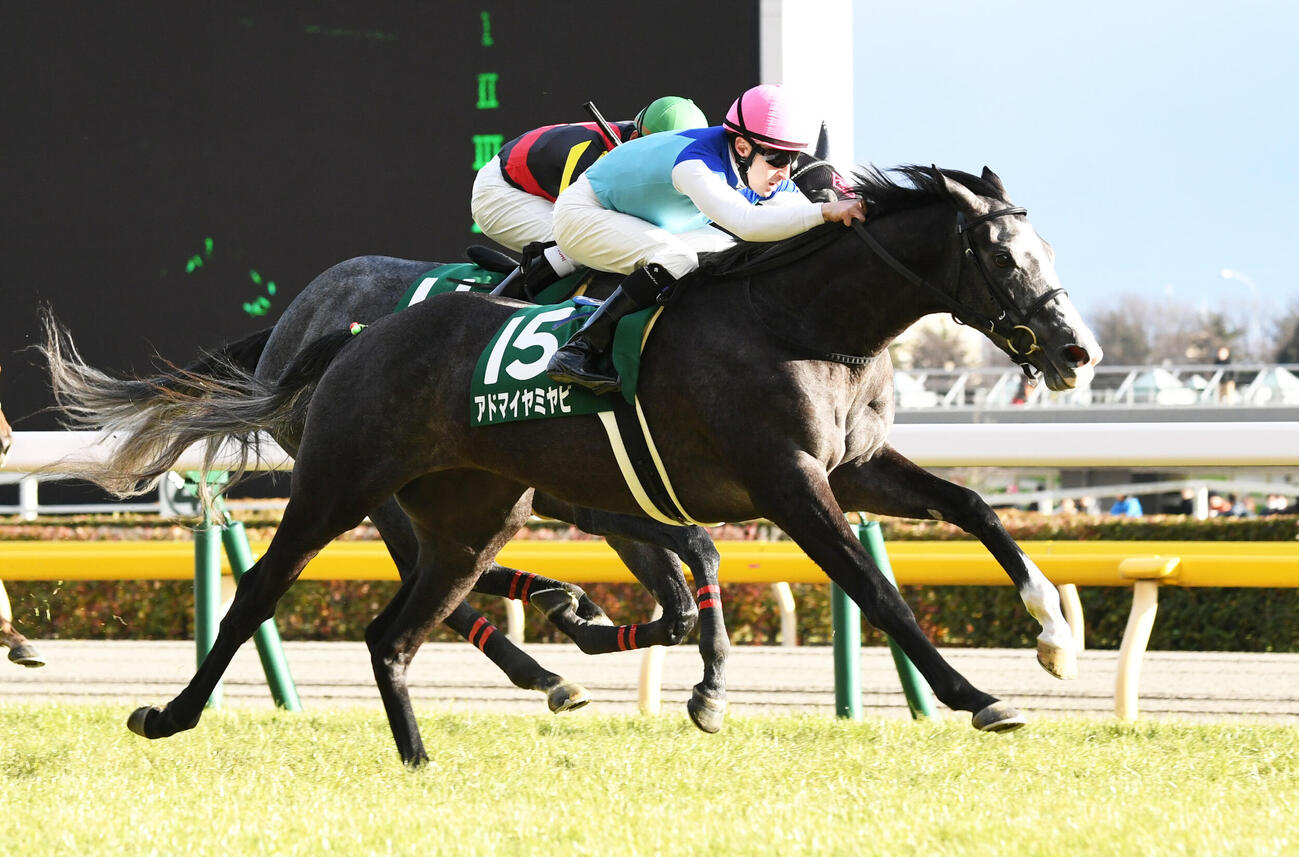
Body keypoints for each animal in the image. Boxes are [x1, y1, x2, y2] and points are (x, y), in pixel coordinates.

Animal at [44, 165, 1101, 766]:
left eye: (1045, 247)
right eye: (1004, 257)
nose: (1076, 350)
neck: (794, 319)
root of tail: (338, 331)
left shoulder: (852, 465)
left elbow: (972, 506)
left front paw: (1054, 631)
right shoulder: (783, 482)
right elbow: (870, 590)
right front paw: (980, 698)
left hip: (475, 508)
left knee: (408, 616)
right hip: (343, 486)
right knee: (266, 590)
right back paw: (171, 715)